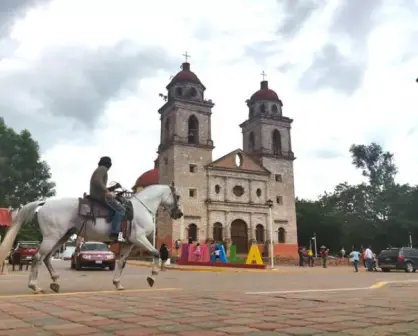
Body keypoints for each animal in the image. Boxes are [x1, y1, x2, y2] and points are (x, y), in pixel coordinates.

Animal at [0, 184, 182, 294]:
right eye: (178, 196)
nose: (179, 214)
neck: (141, 208)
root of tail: (45, 203)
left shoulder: (128, 243)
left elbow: (122, 263)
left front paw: (118, 283)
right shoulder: (139, 238)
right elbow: (156, 252)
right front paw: (152, 277)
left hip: (62, 236)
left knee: (47, 258)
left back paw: (55, 282)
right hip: (52, 237)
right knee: (38, 257)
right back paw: (35, 286)